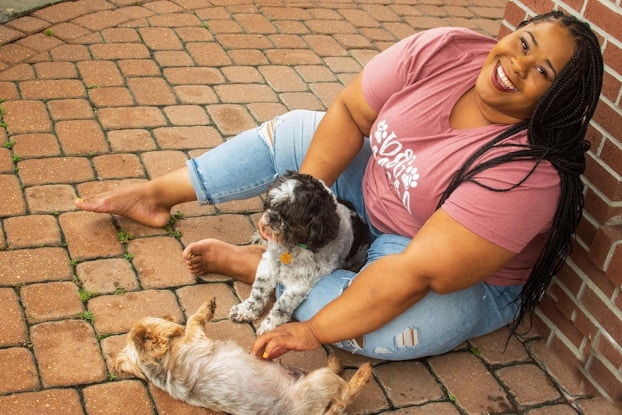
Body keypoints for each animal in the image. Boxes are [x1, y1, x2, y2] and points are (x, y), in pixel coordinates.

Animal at [232, 171, 372, 334]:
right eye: (272, 203)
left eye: (292, 216)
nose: (272, 217)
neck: (291, 247)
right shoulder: (268, 265)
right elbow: (258, 291)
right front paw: (246, 310)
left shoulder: (300, 284)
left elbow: (282, 305)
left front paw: (269, 325)